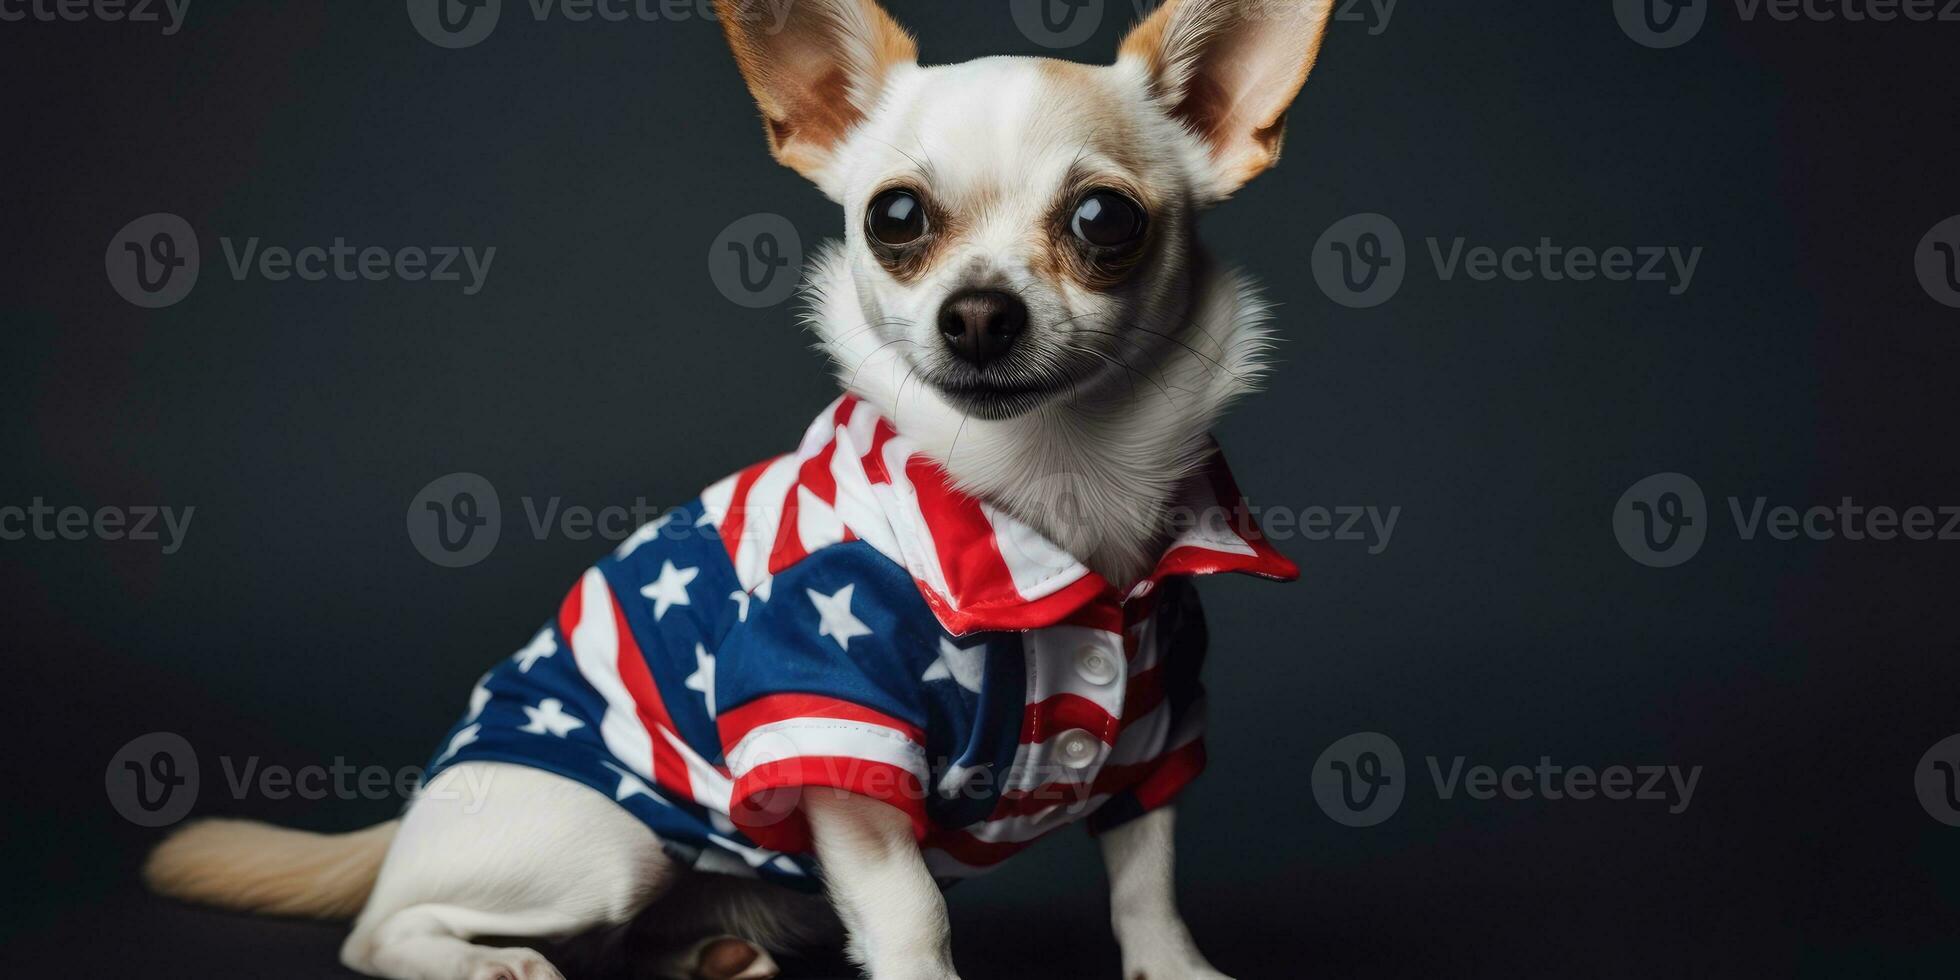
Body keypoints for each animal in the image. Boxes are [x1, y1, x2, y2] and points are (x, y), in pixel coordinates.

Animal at [148, 1, 1332, 980]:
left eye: (1103, 222)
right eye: (895, 218)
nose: (978, 312)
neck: (1048, 485)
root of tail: (416, 813)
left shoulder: (1157, 729)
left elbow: (1145, 881)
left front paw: (1175, 971)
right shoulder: (831, 727)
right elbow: (911, 911)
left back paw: (707, 954)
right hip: (604, 840)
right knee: (379, 932)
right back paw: (487, 963)